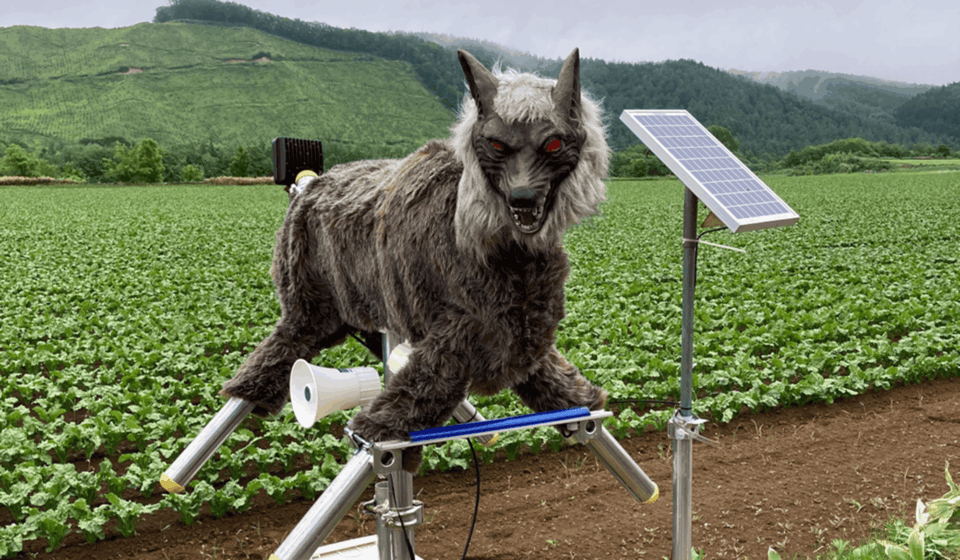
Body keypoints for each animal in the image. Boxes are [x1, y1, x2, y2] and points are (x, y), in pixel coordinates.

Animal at [220, 48, 611, 470]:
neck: (501, 251)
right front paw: (379, 433)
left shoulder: (522, 334)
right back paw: (249, 388)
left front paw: (584, 402)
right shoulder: (454, 336)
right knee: (284, 343)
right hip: (308, 302)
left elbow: (555, 382)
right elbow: (418, 394)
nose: (522, 197)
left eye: (553, 144)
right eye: (496, 145)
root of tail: (309, 185)